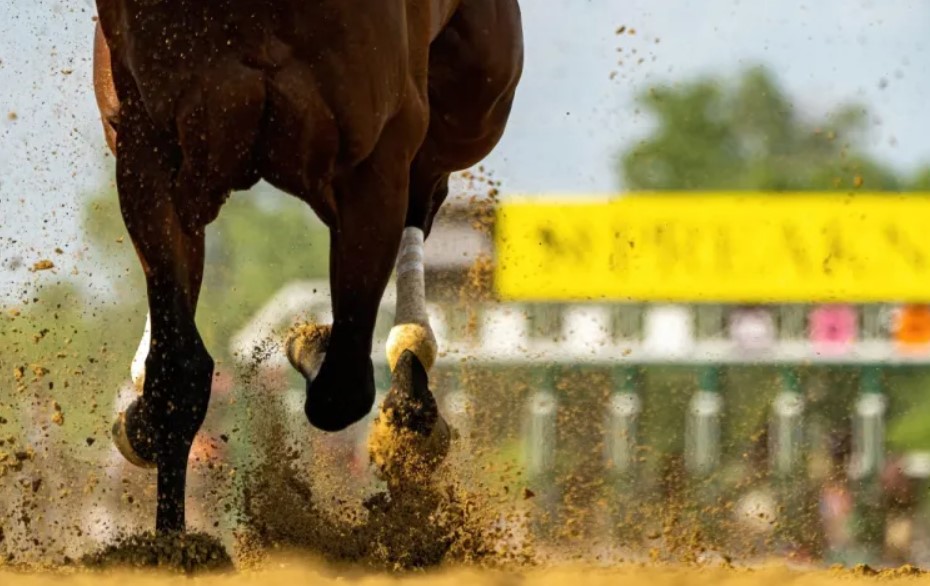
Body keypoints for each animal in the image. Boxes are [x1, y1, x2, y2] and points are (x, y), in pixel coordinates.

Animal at [91, 0, 523, 534]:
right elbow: (179, 371)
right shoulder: (148, 143)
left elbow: (344, 387)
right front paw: (169, 538)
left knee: (427, 188)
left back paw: (409, 391)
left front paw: (315, 346)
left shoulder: (376, 157)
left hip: (476, 98)